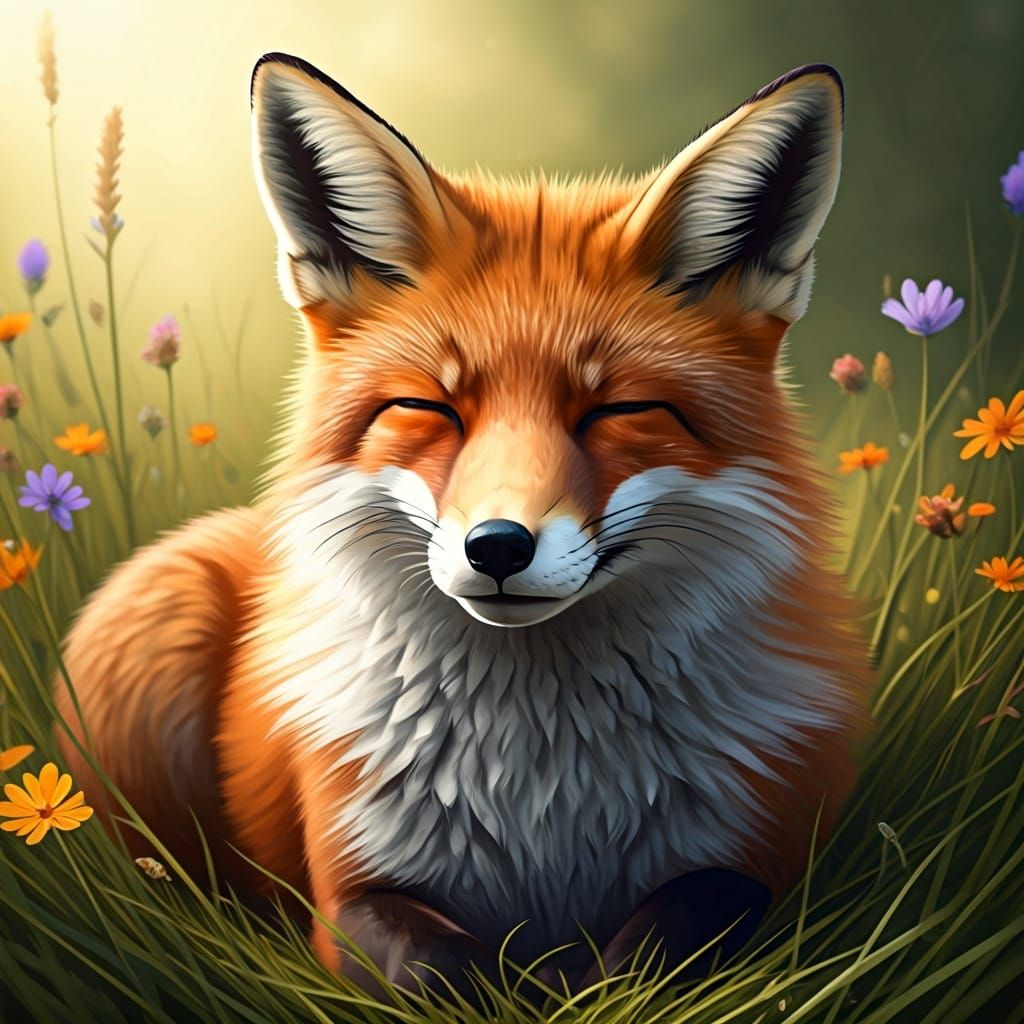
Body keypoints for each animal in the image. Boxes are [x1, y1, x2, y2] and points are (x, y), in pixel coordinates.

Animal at [55, 55, 870, 994]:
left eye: (618, 411)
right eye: (429, 408)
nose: (498, 547)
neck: (544, 790)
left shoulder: (763, 855)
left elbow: (662, 946)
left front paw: (579, 982)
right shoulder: (353, 889)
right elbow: (445, 968)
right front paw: (532, 984)